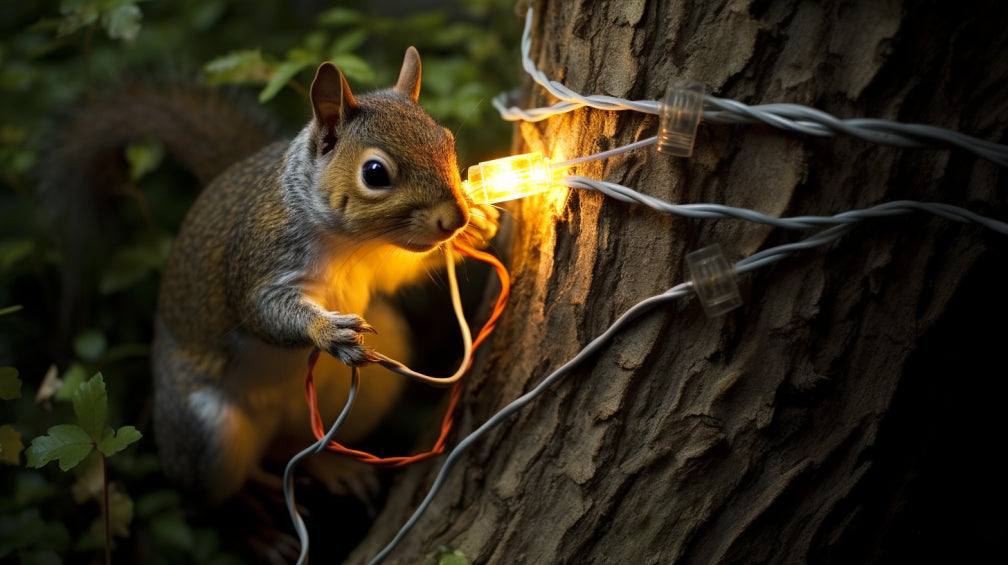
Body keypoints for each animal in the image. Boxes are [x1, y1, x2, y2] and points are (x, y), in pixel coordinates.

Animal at [48, 47, 498, 502]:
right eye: (375, 173)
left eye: (447, 141)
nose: (455, 218)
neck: (352, 245)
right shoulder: (259, 260)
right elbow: (263, 312)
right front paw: (326, 332)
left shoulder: (382, 264)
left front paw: (479, 226)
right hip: (205, 432)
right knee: (227, 485)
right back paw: (261, 504)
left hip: (370, 384)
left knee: (295, 446)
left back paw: (331, 464)